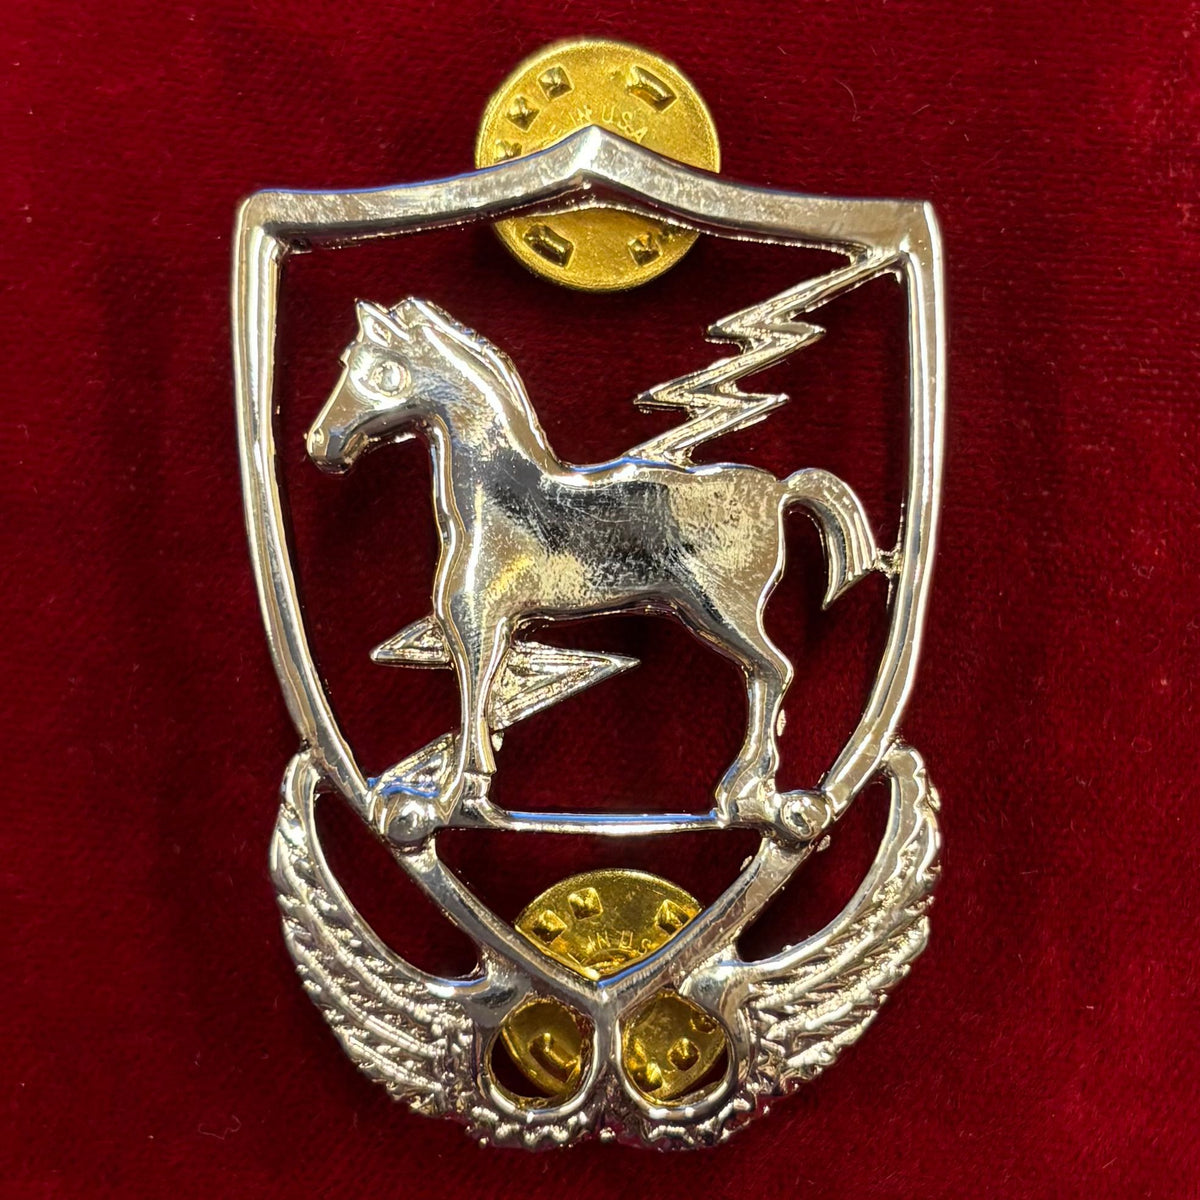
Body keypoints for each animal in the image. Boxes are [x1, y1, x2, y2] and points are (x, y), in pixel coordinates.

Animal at [306, 297, 878, 838]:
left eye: (382, 371)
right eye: (344, 362)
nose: (321, 442)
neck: (494, 503)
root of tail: (780, 490)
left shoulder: (480, 623)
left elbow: (473, 703)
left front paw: (449, 800)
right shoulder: (478, 626)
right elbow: (476, 698)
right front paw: (465, 794)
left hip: (720, 609)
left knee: (774, 670)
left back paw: (745, 791)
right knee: (764, 675)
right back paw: (742, 791)